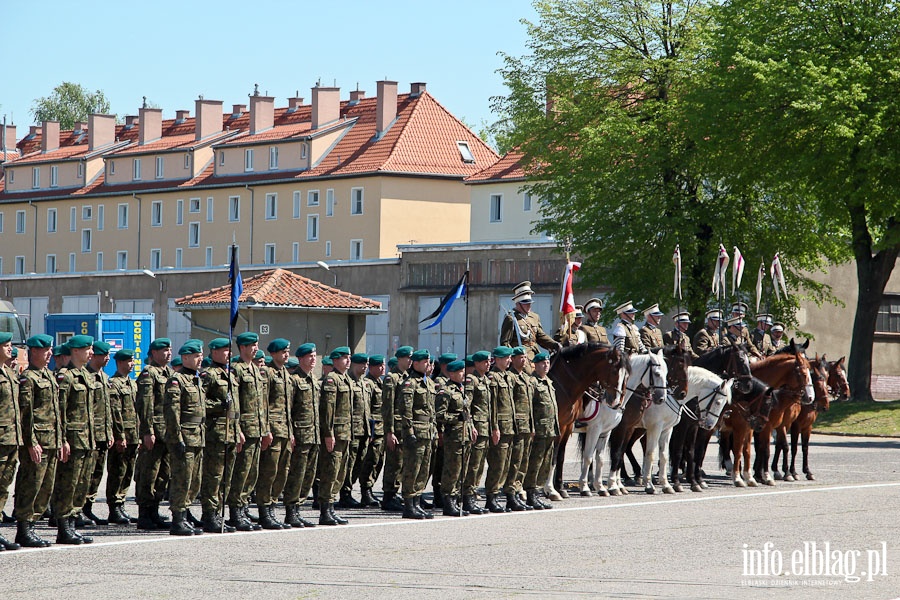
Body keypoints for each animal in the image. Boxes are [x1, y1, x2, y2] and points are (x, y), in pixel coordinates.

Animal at [544, 342, 628, 502]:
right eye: (614, 371)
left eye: (626, 375)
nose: (615, 402)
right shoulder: (561, 427)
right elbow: (555, 457)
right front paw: (551, 490)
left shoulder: (569, 427)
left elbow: (562, 457)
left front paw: (561, 489)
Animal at [604, 346, 668, 496]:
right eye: (657, 374)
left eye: (667, 373)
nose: (661, 399)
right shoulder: (620, 428)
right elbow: (617, 454)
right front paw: (614, 485)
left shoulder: (629, 428)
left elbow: (620, 453)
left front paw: (619, 485)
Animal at [640, 364, 732, 494]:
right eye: (718, 402)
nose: (710, 425)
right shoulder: (666, 427)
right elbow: (675, 452)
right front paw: (674, 482)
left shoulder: (683, 428)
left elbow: (688, 452)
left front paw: (693, 482)